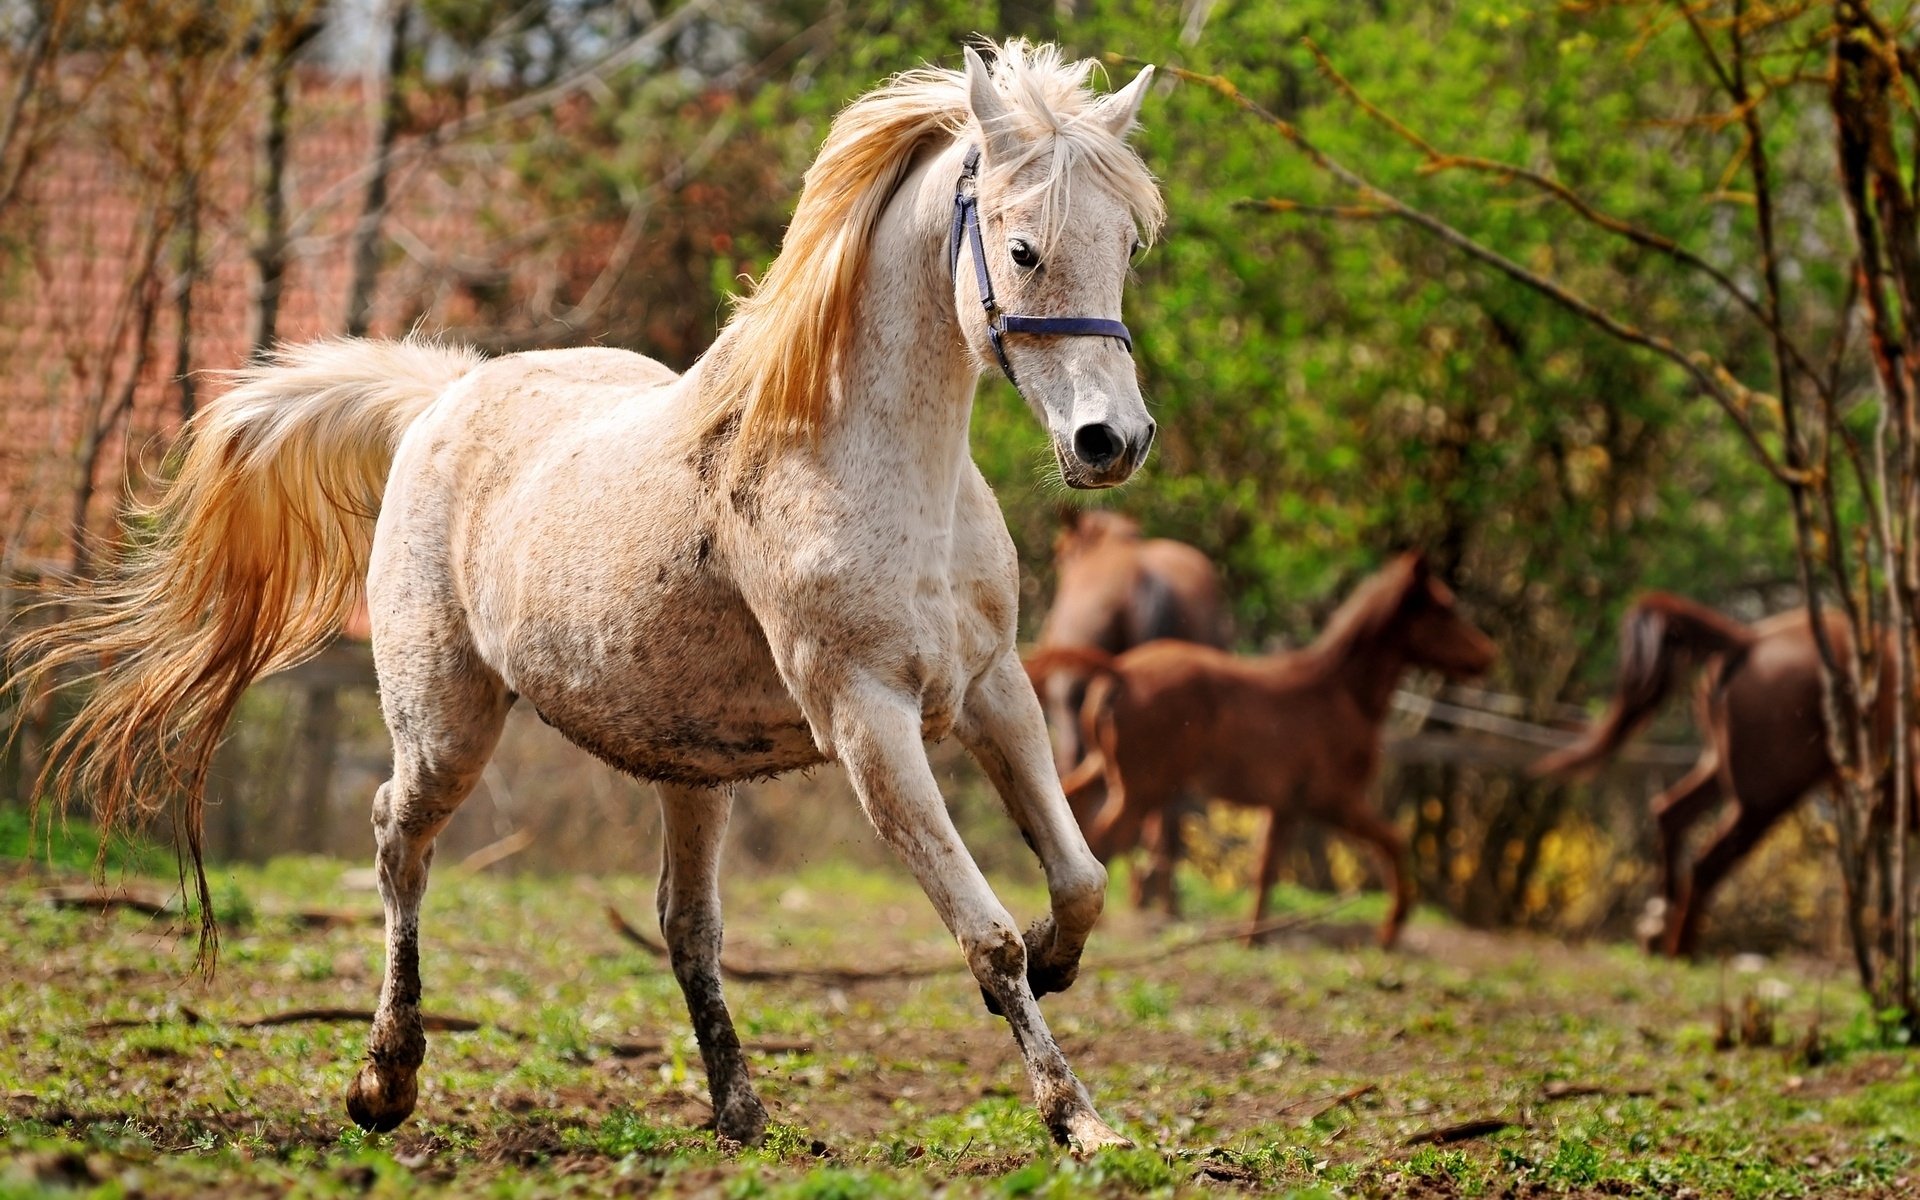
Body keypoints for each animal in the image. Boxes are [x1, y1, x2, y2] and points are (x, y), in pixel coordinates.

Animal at [10, 41, 1164, 1153]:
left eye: (1127, 245)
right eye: (1024, 249)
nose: (1111, 442)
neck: (866, 465)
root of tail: (444, 398)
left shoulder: (992, 691)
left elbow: (1081, 879)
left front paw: (1062, 967)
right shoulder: (869, 723)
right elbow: (987, 935)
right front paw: (1079, 1119)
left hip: (693, 770)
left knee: (685, 924)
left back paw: (739, 1112)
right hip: (446, 728)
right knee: (396, 840)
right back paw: (385, 1081)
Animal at [1028, 552, 1495, 948]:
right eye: (1445, 610)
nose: (1488, 656)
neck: (1341, 693)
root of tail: (1119, 670)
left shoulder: (1285, 807)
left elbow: (1265, 870)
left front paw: (1253, 938)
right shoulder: (1335, 800)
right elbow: (1394, 841)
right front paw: (1391, 929)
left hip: (1107, 769)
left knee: (1072, 808)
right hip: (1143, 788)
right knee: (1104, 839)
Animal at [1532, 592, 1892, 958]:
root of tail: (1748, 641)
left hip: (1722, 770)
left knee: (1670, 814)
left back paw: (1658, 926)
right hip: (1764, 796)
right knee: (1707, 863)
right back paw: (1680, 949)